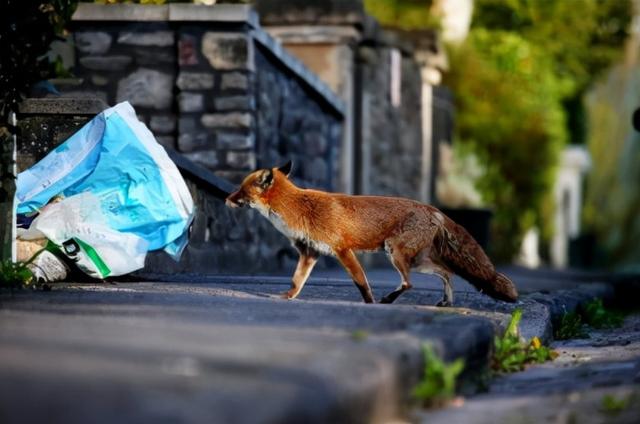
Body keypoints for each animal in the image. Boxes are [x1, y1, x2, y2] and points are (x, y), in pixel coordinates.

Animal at [228, 161, 516, 304]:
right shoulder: (310, 253)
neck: (298, 207)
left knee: (410, 282)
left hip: (396, 253)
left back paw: (389, 299)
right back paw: (446, 303)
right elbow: (296, 281)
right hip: (418, 261)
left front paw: (369, 303)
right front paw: (288, 297)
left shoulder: (343, 250)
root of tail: (432, 209)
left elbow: (361, 282)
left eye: (240, 190)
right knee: (447, 273)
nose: (226, 199)